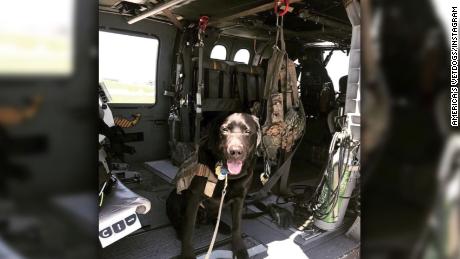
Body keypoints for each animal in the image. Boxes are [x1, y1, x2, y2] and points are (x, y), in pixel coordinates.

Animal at [166, 114, 260, 259]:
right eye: (224, 130)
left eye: (247, 131)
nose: (235, 151)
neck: (227, 175)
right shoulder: (194, 198)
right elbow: (189, 230)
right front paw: (187, 253)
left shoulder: (239, 199)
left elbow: (237, 226)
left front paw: (239, 248)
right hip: (174, 198)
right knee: (178, 222)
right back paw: (180, 232)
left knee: (215, 217)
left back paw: (222, 226)